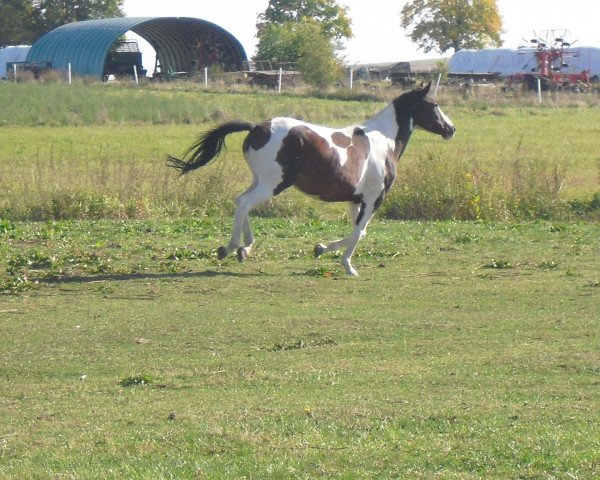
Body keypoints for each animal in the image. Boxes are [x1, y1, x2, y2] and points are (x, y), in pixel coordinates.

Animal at [166, 82, 452, 276]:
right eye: (434, 105)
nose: (451, 129)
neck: (383, 142)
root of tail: (258, 127)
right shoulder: (374, 199)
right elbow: (359, 233)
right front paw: (348, 266)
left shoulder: (356, 200)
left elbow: (359, 231)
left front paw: (321, 249)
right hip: (274, 184)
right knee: (244, 204)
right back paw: (233, 247)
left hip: (260, 180)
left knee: (240, 202)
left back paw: (243, 249)